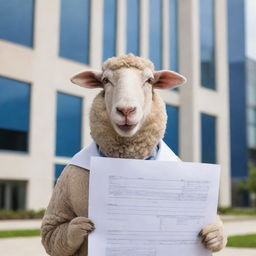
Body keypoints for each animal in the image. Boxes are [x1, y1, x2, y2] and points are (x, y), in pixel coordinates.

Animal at [41, 54, 227, 256]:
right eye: (105, 80)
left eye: (149, 80)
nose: (126, 111)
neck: (128, 158)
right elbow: (51, 232)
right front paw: (79, 227)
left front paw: (214, 234)